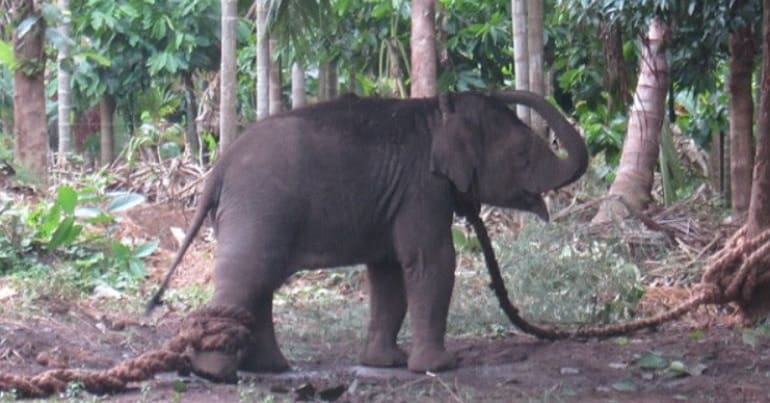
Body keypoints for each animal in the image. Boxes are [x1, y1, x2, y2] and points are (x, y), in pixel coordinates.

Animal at [147, 90, 584, 384]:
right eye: (524, 157)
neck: (436, 116)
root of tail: (218, 169)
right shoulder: (421, 190)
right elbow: (431, 262)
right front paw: (440, 367)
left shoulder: (396, 199)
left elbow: (388, 272)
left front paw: (385, 363)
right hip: (259, 208)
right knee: (248, 276)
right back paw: (218, 374)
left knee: (259, 283)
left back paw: (270, 368)